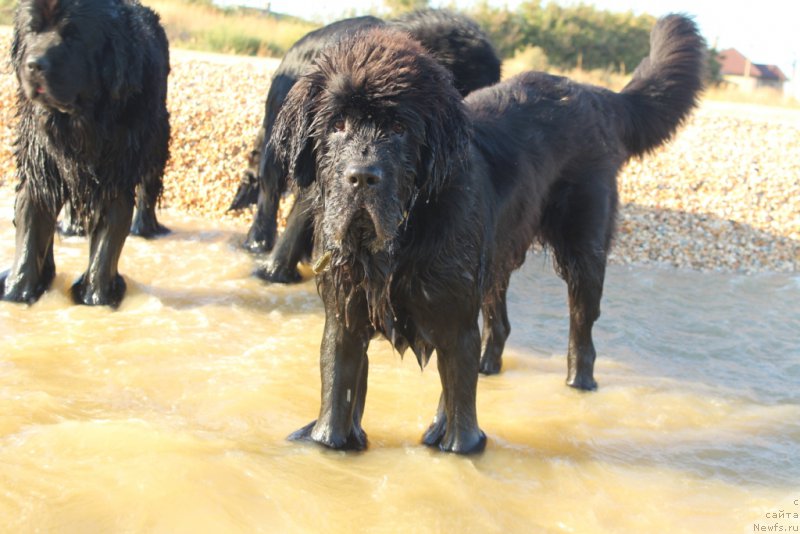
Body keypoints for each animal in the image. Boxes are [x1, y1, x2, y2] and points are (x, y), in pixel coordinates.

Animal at [0, 0, 170, 308]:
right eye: (33, 30)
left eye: (74, 36)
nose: (34, 65)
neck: (81, 122)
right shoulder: (41, 167)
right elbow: (31, 230)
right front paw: (17, 294)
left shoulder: (116, 174)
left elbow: (108, 241)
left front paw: (96, 298)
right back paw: (72, 228)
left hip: (157, 140)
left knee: (149, 187)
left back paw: (146, 228)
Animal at [274, 16, 708, 454]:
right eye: (337, 124)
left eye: (398, 127)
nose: (362, 176)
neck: (400, 240)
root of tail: (595, 95)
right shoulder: (344, 317)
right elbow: (337, 393)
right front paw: (328, 443)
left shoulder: (455, 321)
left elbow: (462, 420)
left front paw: (456, 446)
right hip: (495, 258)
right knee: (499, 323)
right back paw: (488, 368)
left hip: (582, 249)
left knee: (582, 328)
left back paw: (578, 384)